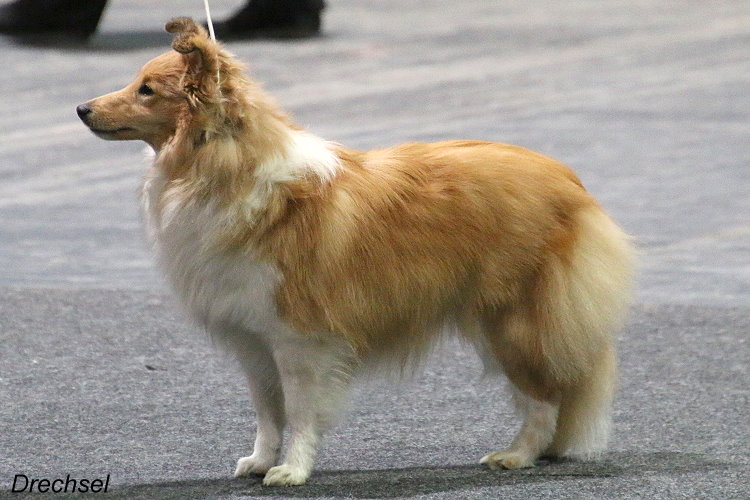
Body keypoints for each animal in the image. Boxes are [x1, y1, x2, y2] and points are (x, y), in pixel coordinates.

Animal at [77, 17, 634, 486]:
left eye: (147, 89)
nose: (81, 109)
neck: (223, 169)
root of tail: (568, 179)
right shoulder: (253, 337)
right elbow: (267, 410)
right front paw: (259, 461)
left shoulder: (300, 338)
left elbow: (300, 410)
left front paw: (291, 471)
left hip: (514, 320)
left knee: (544, 396)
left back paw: (516, 455)